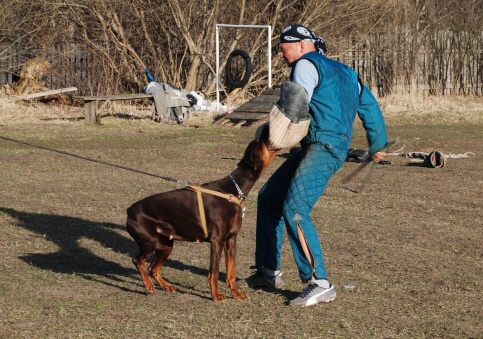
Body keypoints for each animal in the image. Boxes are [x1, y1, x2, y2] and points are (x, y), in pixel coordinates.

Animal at [125, 126, 276, 302]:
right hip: (149, 242)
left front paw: (236, 294)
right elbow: (214, 272)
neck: (234, 189)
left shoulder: (231, 240)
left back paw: (166, 286)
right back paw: (148, 285)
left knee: (153, 268)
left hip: (165, 244)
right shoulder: (217, 241)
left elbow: (231, 272)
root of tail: (129, 210)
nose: (266, 128)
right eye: (260, 141)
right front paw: (216, 295)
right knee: (137, 260)